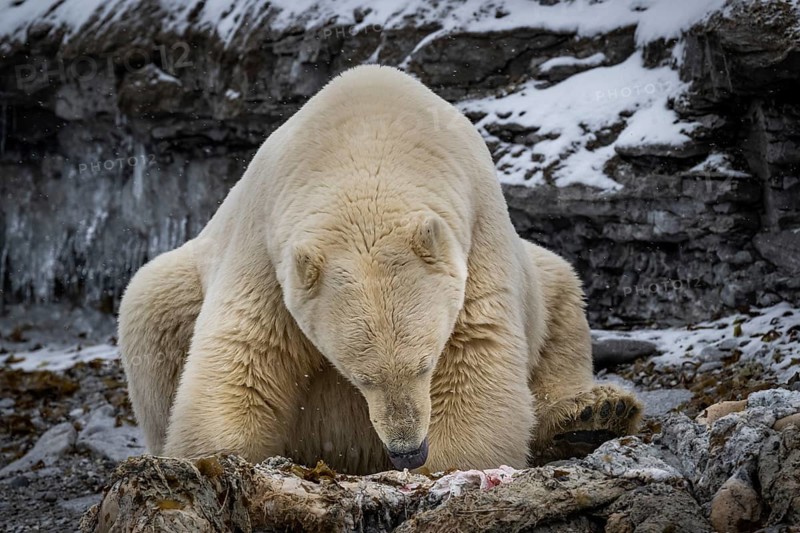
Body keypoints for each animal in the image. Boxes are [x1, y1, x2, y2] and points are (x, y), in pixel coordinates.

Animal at [118, 65, 641, 474]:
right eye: (360, 377)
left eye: (426, 363)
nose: (408, 451)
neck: (369, 141)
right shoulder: (267, 246)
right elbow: (244, 354)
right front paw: (211, 458)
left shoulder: (474, 234)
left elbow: (477, 351)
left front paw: (456, 465)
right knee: (151, 307)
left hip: (535, 274)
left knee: (561, 296)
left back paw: (593, 414)